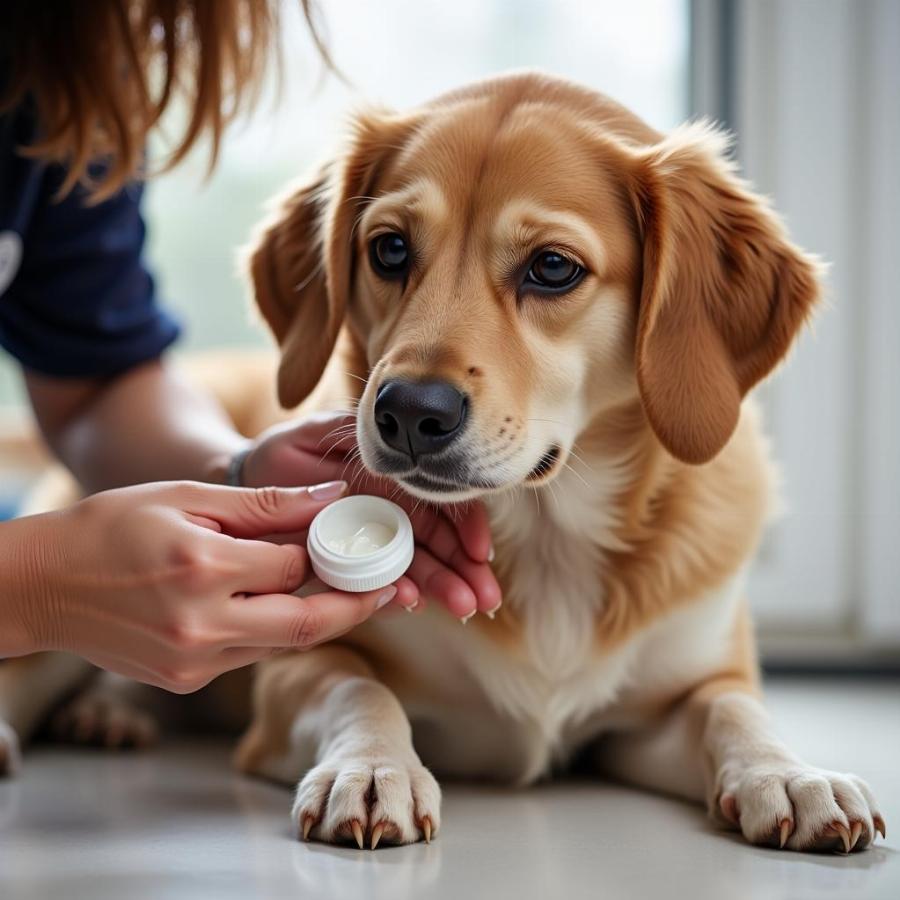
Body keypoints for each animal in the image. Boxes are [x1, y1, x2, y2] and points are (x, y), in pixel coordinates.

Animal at [0, 74, 884, 856]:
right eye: (389, 249)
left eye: (552, 267)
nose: (408, 413)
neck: (549, 536)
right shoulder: (295, 676)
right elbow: (361, 688)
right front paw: (372, 769)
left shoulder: (676, 699)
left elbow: (734, 713)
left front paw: (793, 775)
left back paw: (110, 712)